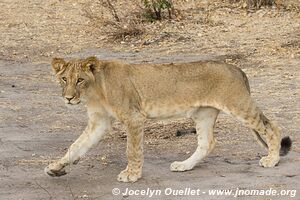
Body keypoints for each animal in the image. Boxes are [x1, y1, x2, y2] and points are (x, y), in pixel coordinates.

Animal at [44, 56, 290, 183]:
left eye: (79, 80)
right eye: (64, 79)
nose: (68, 98)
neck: (94, 91)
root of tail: (236, 68)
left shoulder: (134, 117)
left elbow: (132, 150)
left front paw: (132, 175)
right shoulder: (99, 122)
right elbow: (76, 146)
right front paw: (55, 167)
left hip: (238, 105)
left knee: (272, 127)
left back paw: (272, 159)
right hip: (203, 114)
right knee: (207, 143)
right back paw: (184, 165)